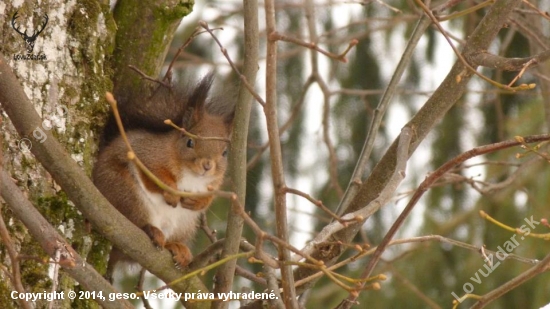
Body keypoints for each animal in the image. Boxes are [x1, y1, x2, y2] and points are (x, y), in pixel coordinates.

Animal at [93, 75, 235, 280]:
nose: (207, 166)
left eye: (224, 152)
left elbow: (210, 197)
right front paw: (172, 192)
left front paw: (199, 202)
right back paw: (151, 231)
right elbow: (155, 174)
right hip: (126, 196)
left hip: (182, 225)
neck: (192, 176)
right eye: (189, 142)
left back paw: (176, 248)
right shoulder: (145, 153)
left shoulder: (215, 182)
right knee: (135, 224)